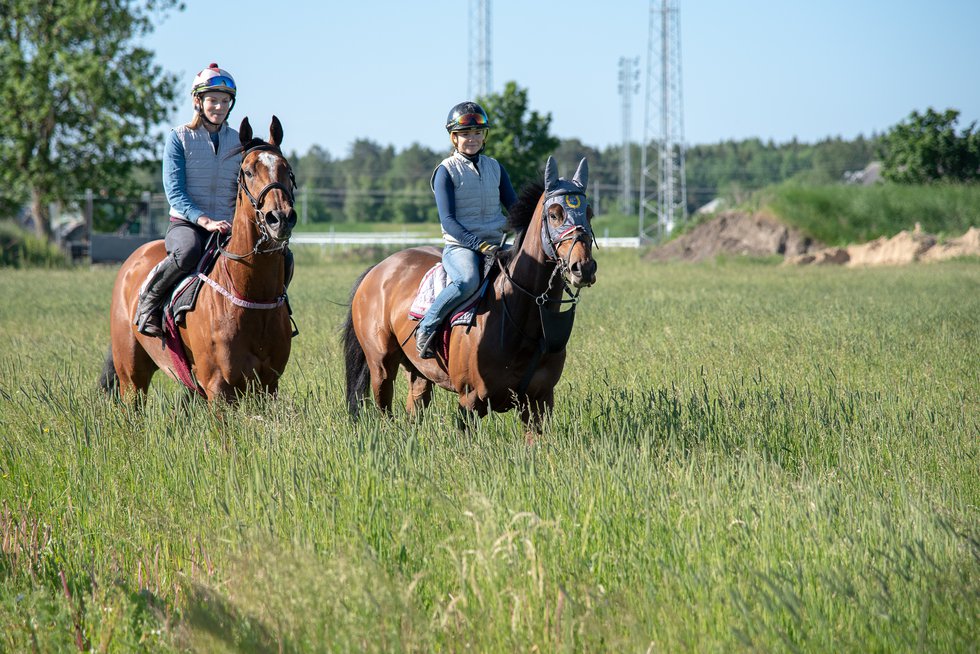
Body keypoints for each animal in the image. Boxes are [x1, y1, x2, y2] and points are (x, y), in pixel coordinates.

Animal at [100, 118, 300, 404]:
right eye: (248, 172)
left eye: (287, 170)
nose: (280, 218)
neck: (250, 296)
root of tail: (133, 260)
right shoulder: (218, 387)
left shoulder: (268, 385)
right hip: (131, 375)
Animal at [344, 156, 596, 434]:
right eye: (554, 214)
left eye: (589, 213)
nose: (583, 267)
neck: (520, 318)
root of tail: (377, 269)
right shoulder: (470, 401)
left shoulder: (539, 401)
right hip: (381, 365)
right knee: (384, 409)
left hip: (419, 373)